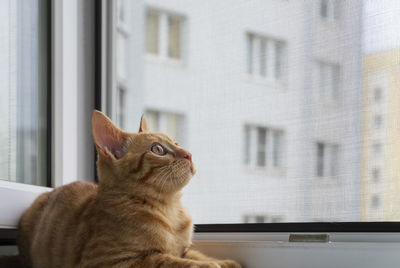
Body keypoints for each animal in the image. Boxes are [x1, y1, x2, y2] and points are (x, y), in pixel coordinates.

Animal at [14, 110, 241, 266]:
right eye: (158, 149)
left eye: (177, 143)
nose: (189, 154)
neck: (170, 209)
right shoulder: (110, 260)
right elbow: (165, 260)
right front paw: (208, 265)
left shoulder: (183, 249)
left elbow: (195, 254)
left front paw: (224, 262)